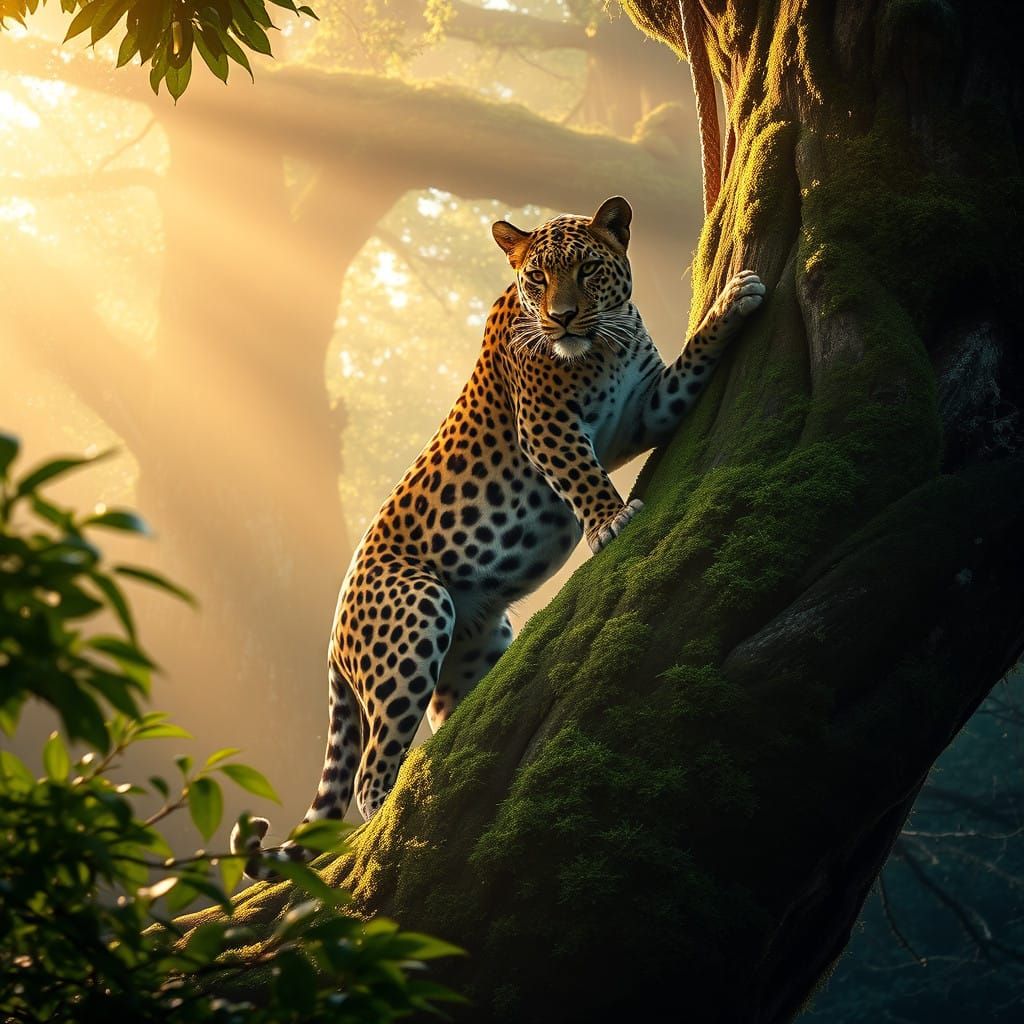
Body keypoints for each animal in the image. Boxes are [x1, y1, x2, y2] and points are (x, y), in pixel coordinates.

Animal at [231, 196, 765, 878]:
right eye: (536, 279)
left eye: (588, 270)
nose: (562, 317)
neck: (604, 343)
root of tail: (333, 634)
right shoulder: (546, 426)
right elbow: (583, 475)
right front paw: (611, 522)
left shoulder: (646, 408)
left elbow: (692, 359)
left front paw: (733, 300)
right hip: (413, 618)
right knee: (370, 773)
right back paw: (375, 835)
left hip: (473, 651)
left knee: (450, 722)